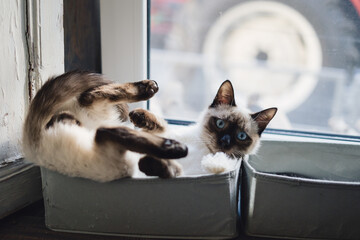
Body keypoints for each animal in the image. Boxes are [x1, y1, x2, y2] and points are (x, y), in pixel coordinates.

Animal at [21, 71, 188, 182]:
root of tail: (32, 147)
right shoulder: (109, 138)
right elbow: (148, 140)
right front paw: (176, 148)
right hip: (95, 116)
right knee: (88, 96)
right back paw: (147, 90)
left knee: (88, 97)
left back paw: (143, 106)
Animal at [131, 79, 278, 175]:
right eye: (220, 123)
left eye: (241, 136)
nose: (224, 142)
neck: (203, 148)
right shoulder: (168, 136)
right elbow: (162, 125)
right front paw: (139, 116)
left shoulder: (191, 175)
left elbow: (173, 170)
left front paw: (149, 163)